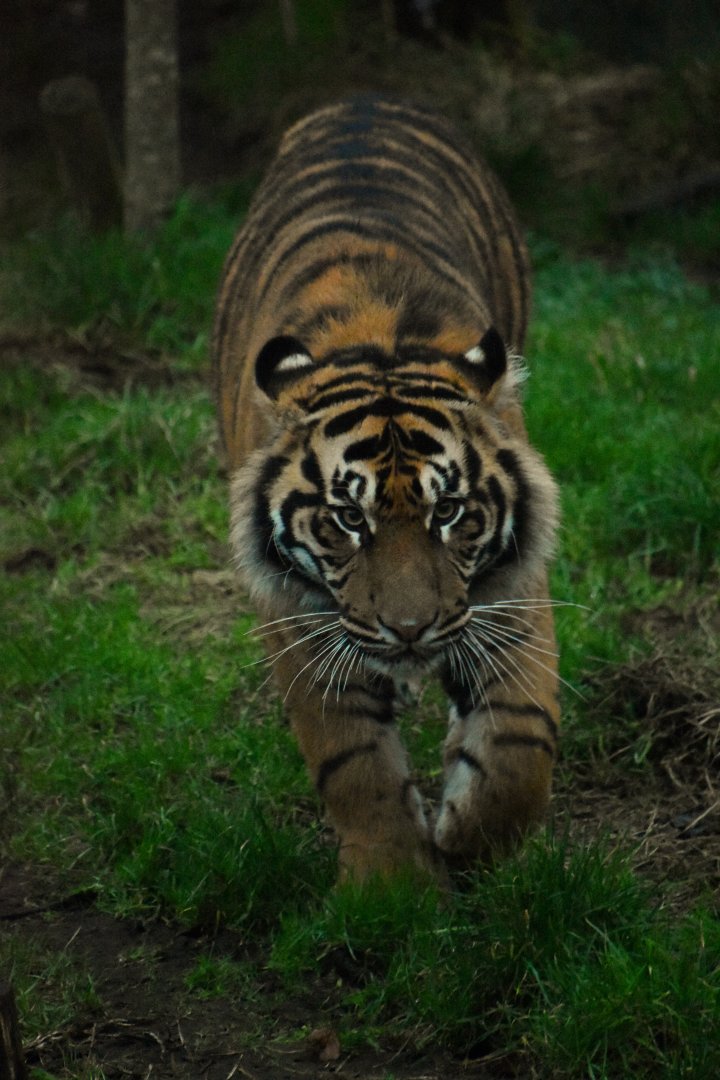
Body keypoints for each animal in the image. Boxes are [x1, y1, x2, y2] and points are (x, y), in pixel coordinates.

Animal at [212, 96, 560, 883]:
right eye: (347, 518)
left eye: (450, 512)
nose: (408, 630)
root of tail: (364, 101)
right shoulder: (299, 617)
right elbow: (354, 760)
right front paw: (391, 886)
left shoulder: (511, 592)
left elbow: (520, 743)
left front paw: (468, 838)